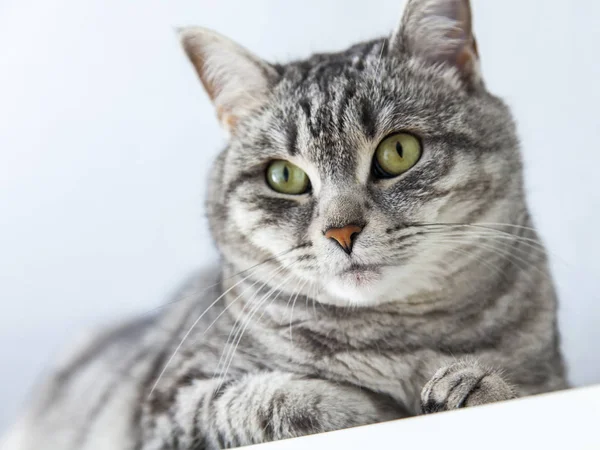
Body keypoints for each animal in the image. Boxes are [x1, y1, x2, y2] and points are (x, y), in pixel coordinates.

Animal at [2, 0, 568, 450]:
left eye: (399, 151)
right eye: (284, 176)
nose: (342, 232)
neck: (396, 345)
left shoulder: (554, 380)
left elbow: (522, 390)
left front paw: (475, 386)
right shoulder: (169, 406)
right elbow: (276, 401)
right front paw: (380, 408)